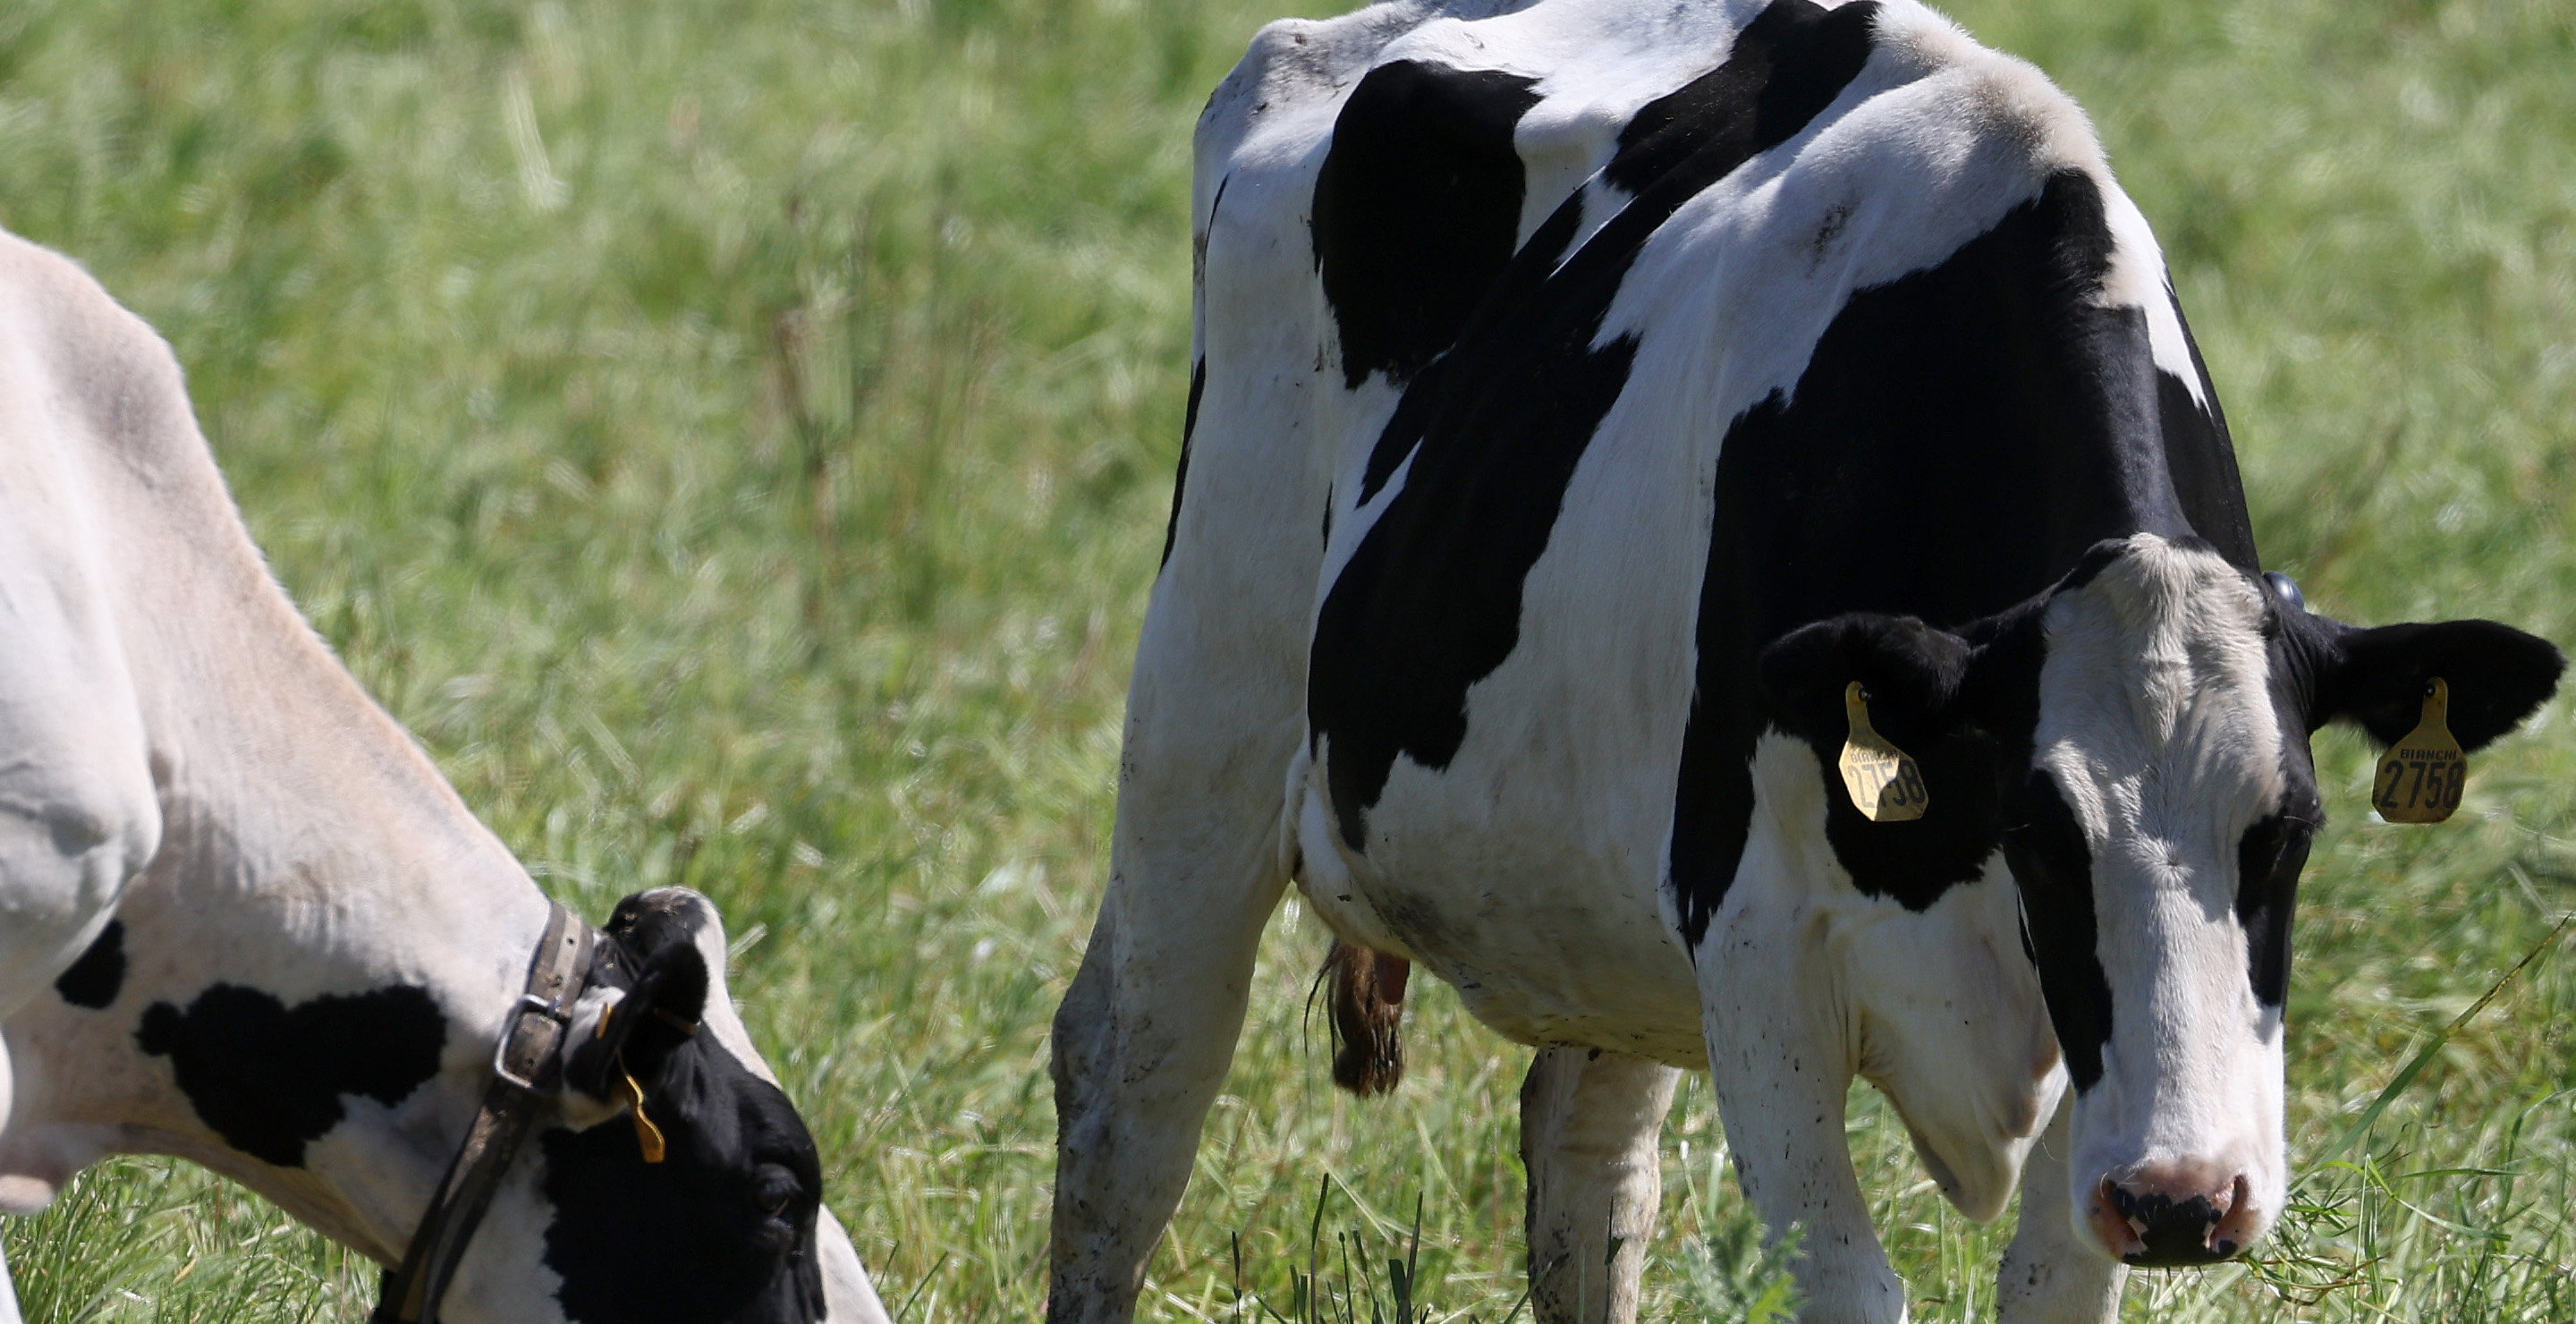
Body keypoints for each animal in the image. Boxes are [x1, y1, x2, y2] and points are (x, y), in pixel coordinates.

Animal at [1055, 0, 2565, 1313]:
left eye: (2291, 831)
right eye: (2038, 831)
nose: (2190, 1197)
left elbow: (2051, 1278)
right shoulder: (1761, 952)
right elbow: (1849, 1286)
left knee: (1587, 1159)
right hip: (1205, 709)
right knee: (1133, 1085)